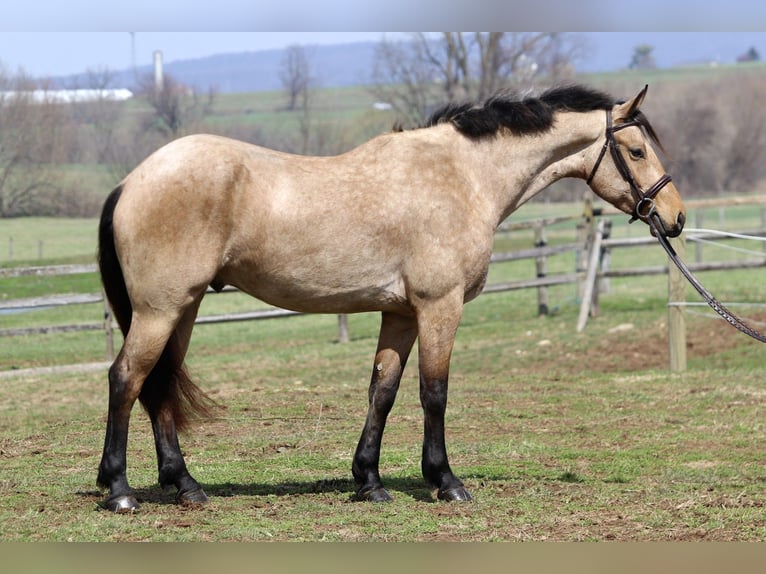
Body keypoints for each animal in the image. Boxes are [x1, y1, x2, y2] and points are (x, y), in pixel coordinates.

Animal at [96, 84, 685, 512]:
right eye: (636, 150)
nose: (675, 217)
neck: (462, 175)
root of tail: (131, 181)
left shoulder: (399, 313)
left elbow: (383, 390)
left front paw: (369, 481)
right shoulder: (439, 306)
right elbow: (434, 392)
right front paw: (446, 481)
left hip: (183, 308)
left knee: (159, 384)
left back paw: (185, 486)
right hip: (160, 310)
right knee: (126, 379)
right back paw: (120, 490)